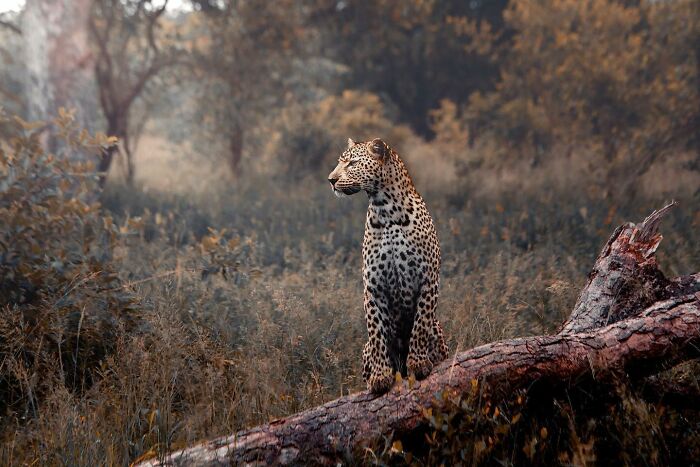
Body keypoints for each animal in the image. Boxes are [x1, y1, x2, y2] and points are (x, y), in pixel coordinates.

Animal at [328, 137, 449, 394]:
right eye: (340, 162)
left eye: (353, 163)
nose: (331, 180)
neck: (386, 210)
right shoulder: (373, 287)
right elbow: (377, 334)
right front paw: (380, 376)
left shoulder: (428, 278)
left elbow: (420, 324)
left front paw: (419, 364)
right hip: (364, 349)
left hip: (438, 329)